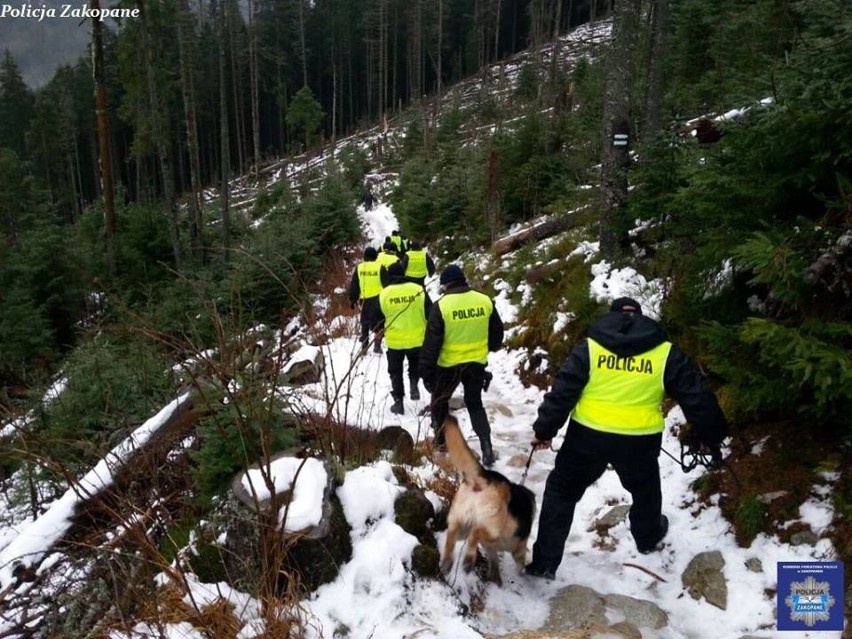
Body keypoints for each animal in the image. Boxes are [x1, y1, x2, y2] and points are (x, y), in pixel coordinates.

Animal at [442, 416, 536, 584]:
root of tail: (483, 477)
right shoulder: (518, 548)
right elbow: (519, 563)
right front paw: (521, 573)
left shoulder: (491, 549)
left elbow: (494, 563)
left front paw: (495, 579)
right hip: (492, 527)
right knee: (476, 533)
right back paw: (468, 561)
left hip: (463, 523)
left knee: (452, 532)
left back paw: (448, 562)